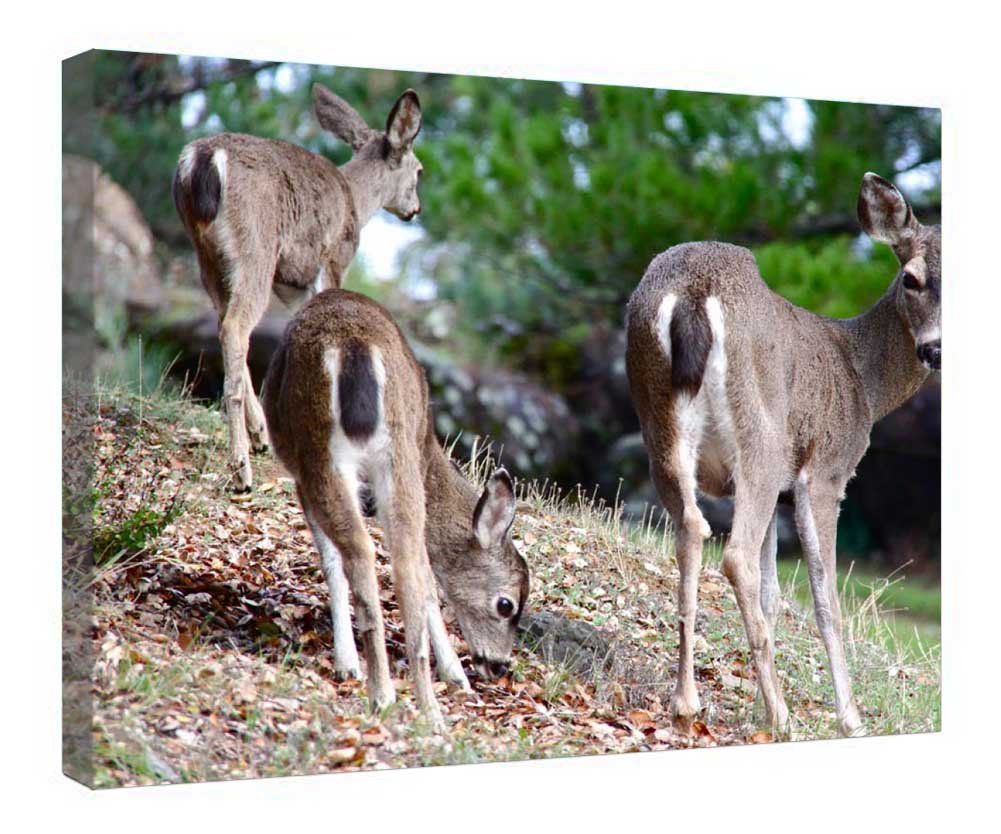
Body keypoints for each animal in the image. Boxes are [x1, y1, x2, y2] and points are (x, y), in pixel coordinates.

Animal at [172, 83, 425, 491]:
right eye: (419, 170)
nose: (415, 209)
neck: (355, 201)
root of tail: (202, 159)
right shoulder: (334, 258)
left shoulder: (292, 283)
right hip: (255, 246)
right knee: (235, 327)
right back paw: (241, 468)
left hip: (207, 256)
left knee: (224, 323)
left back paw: (257, 437)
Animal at [261, 287, 531, 729]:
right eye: (506, 605)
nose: (501, 665)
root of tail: (355, 348)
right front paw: (455, 675)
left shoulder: (300, 477)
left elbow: (331, 561)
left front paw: (346, 663)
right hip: (395, 460)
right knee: (406, 565)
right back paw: (428, 709)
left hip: (320, 454)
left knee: (359, 551)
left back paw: (380, 692)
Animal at [625, 173, 940, 738]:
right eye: (911, 278)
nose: (935, 350)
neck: (863, 381)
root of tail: (692, 295)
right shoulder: (825, 471)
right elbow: (825, 597)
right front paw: (848, 717)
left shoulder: (779, 492)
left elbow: (774, 593)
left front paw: (755, 704)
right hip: (761, 438)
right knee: (734, 555)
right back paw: (782, 715)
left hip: (660, 430)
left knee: (691, 531)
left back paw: (687, 703)